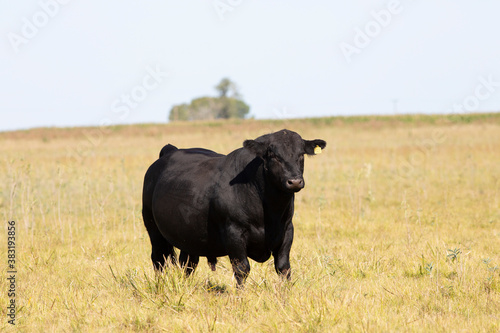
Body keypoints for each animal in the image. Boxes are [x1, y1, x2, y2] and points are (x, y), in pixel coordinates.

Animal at [143, 128, 326, 284]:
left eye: (301, 154)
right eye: (273, 155)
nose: (294, 181)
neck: (269, 211)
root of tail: (171, 150)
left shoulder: (287, 230)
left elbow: (283, 267)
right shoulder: (234, 232)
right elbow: (242, 268)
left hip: (188, 235)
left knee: (188, 263)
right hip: (153, 228)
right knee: (158, 259)